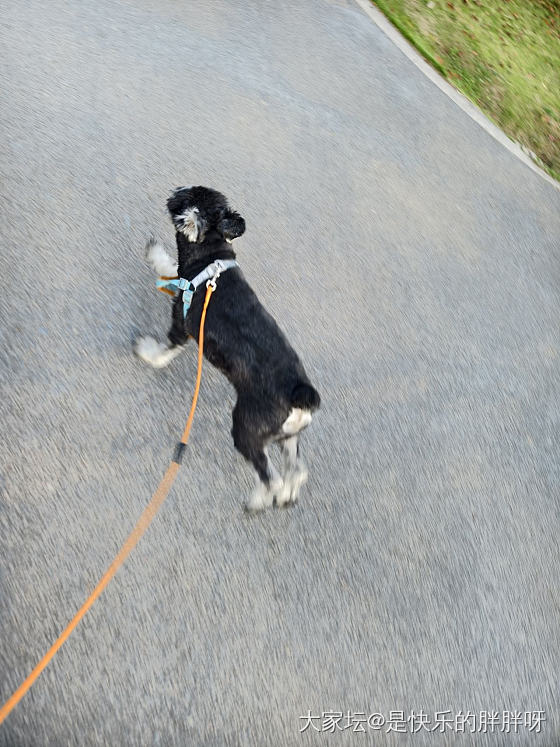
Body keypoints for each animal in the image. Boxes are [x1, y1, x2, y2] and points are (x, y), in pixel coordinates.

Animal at [135, 186, 320, 512]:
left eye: (186, 196)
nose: (175, 189)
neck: (212, 261)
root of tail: (299, 395)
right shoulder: (183, 280)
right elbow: (170, 267)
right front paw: (156, 254)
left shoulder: (182, 324)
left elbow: (165, 352)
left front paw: (148, 352)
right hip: (287, 437)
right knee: (296, 470)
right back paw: (286, 496)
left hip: (246, 429)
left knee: (270, 475)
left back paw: (259, 499)